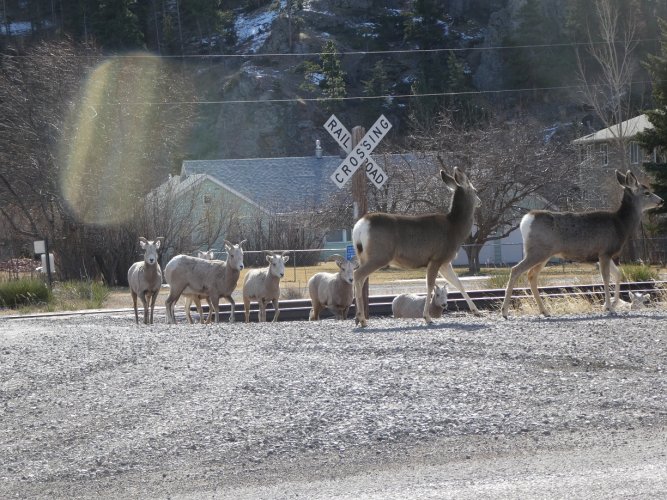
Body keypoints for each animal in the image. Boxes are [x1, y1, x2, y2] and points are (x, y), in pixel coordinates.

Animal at [352, 166, 482, 326]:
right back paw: (362, 319)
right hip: (379, 255)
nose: (480, 201)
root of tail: (360, 226)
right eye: (475, 190)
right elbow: (430, 285)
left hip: (363, 255)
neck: (455, 228)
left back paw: (359, 318)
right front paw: (427, 317)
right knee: (357, 275)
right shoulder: (437, 258)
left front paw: (476, 311)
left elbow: (458, 283)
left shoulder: (445, 262)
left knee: (360, 278)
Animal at [500, 170, 664, 318]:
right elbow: (606, 278)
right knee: (516, 270)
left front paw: (611, 304)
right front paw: (610, 308)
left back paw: (545, 311)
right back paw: (505, 312)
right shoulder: (605, 251)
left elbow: (618, 275)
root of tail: (526, 220)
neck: (620, 224)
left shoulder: (604, 254)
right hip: (537, 251)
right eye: (647, 192)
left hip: (544, 254)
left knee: (531, 275)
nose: (661, 200)